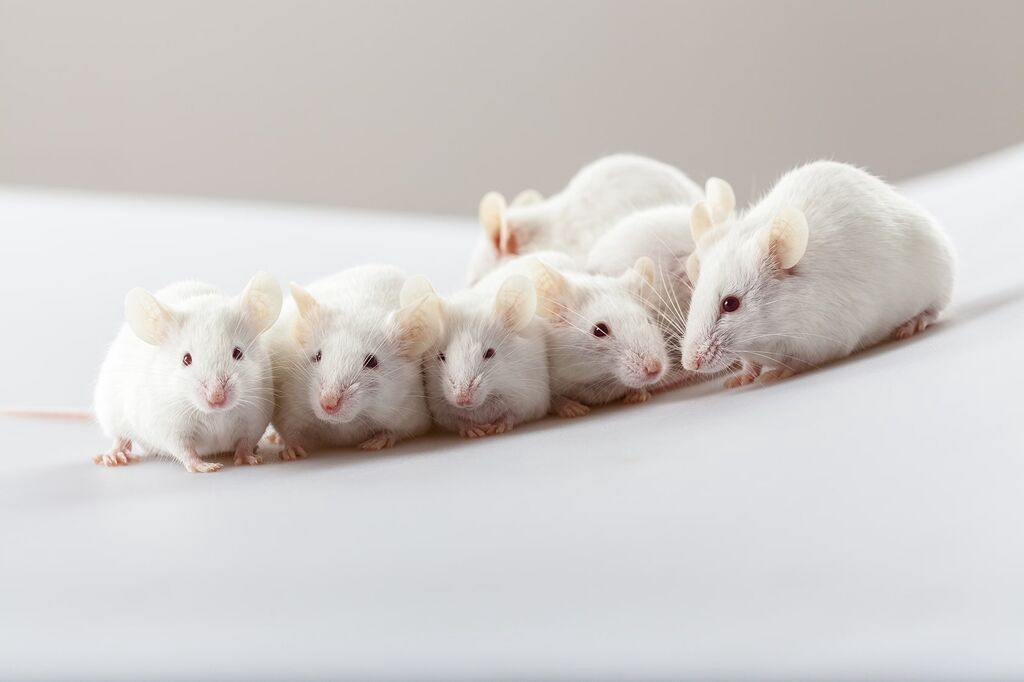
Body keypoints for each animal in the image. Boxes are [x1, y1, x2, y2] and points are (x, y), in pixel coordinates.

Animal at [93, 273, 283, 473]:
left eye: (238, 353)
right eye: (186, 359)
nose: (216, 399)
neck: (216, 414)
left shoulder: (254, 417)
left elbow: (246, 441)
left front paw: (248, 458)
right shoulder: (171, 425)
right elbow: (184, 449)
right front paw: (205, 466)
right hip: (111, 413)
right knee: (120, 437)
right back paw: (113, 455)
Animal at [267, 265, 441, 458]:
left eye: (372, 362)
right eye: (317, 356)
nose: (328, 404)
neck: (344, 423)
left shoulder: (410, 414)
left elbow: (395, 431)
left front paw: (377, 442)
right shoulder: (289, 409)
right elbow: (291, 432)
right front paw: (291, 451)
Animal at [408, 265, 550, 438]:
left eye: (489, 353)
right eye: (440, 356)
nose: (462, 399)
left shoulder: (530, 399)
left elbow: (512, 414)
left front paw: (498, 427)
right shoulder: (440, 411)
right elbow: (456, 420)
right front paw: (473, 430)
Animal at [681, 160, 956, 387]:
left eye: (730, 304)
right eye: (695, 299)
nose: (689, 363)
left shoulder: (825, 339)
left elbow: (799, 361)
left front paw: (778, 372)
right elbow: (751, 363)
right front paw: (741, 377)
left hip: (938, 279)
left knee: (935, 308)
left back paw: (914, 323)